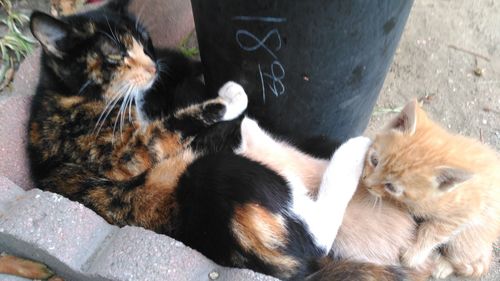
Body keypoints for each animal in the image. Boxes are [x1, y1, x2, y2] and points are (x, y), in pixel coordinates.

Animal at [24, 1, 406, 278]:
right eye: (116, 54)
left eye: (146, 44)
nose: (152, 67)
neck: (66, 95)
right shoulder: (123, 152)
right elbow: (174, 124)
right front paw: (232, 96)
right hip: (216, 175)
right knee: (319, 230)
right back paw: (347, 149)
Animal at [362, 99, 500, 276]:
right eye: (374, 160)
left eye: (391, 187)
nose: (366, 183)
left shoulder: (464, 213)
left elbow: (433, 231)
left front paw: (414, 255)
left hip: (467, 238)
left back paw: (443, 266)